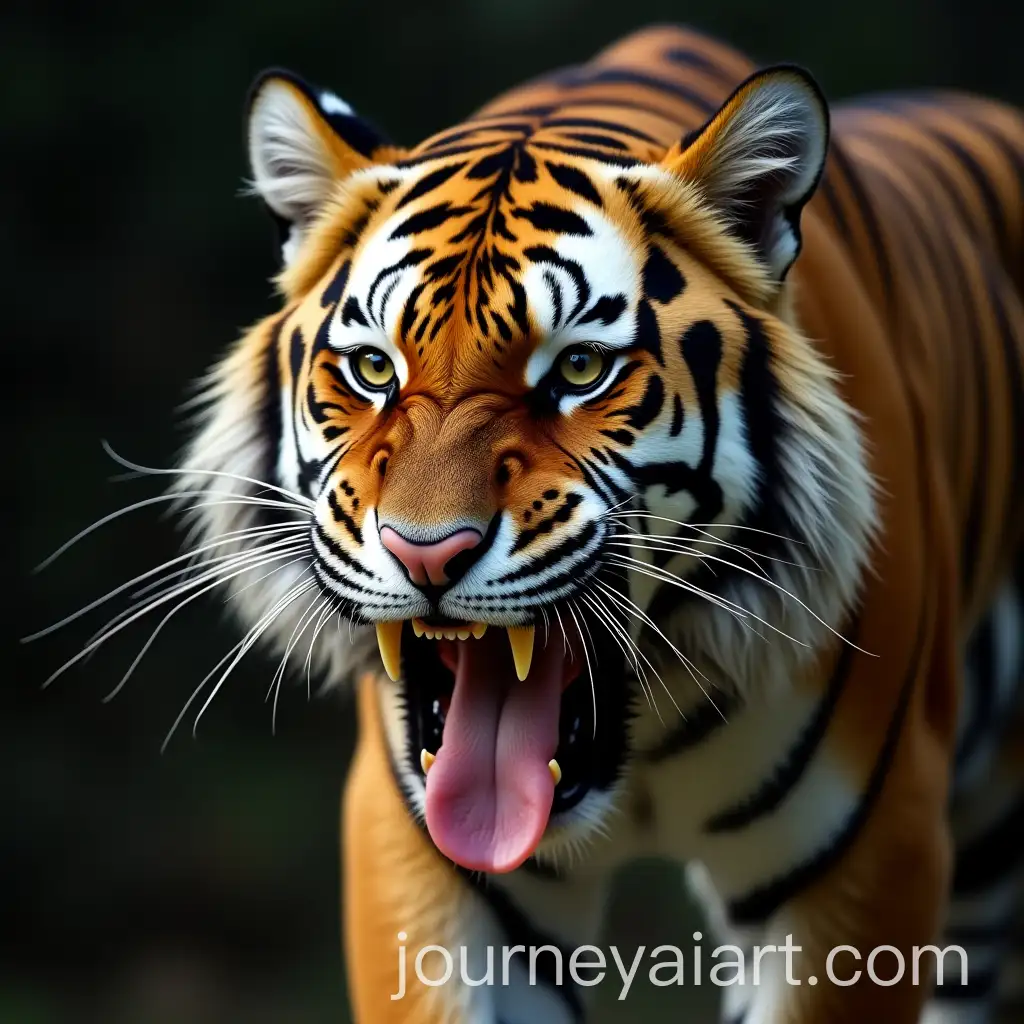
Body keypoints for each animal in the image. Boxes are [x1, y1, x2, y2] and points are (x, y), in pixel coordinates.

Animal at [109, 21, 1024, 1024]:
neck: (640, 745)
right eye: (374, 370)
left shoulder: (864, 861)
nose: (425, 553)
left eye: (580, 369)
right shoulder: (426, 860)